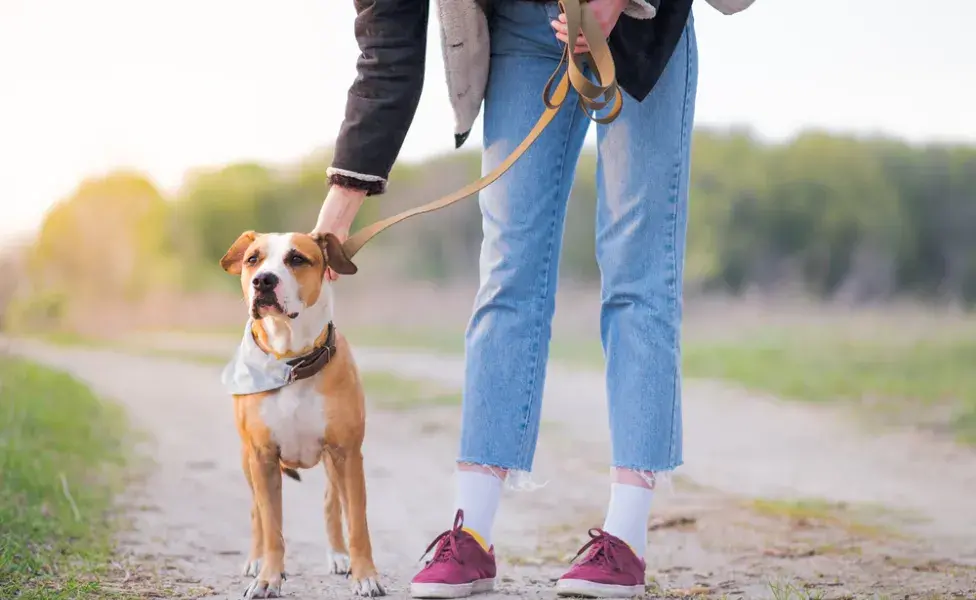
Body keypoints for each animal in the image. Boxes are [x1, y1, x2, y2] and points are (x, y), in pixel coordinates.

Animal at [219, 229, 384, 596]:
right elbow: (272, 526)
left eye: (296, 259)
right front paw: (268, 578)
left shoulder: (348, 453)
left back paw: (339, 556)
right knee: (256, 512)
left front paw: (366, 576)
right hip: (248, 461)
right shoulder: (263, 456)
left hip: (334, 463)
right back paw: (255, 561)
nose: (264, 280)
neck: (290, 362)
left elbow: (358, 524)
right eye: (253, 259)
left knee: (332, 502)